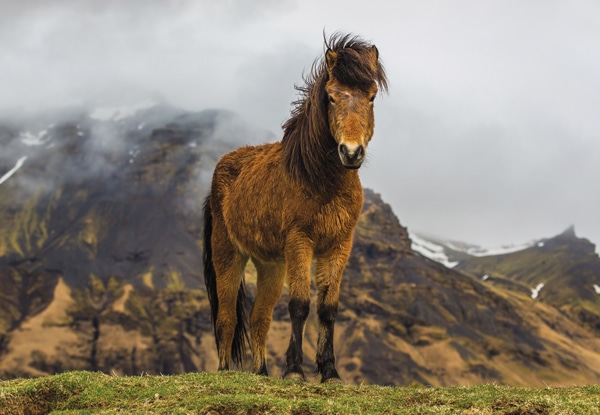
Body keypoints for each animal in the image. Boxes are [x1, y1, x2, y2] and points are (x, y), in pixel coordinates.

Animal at [203, 32, 390, 384]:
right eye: (331, 97)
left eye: (372, 97)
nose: (351, 152)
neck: (318, 178)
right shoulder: (299, 242)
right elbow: (300, 304)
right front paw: (294, 370)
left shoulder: (338, 245)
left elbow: (328, 308)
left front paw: (330, 371)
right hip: (228, 255)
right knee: (226, 317)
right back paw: (224, 372)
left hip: (271, 266)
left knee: (259, 317)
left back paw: (261, 372)